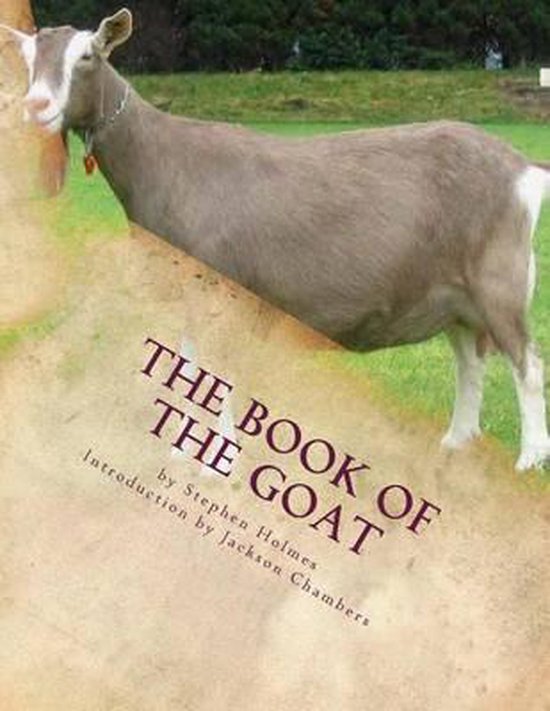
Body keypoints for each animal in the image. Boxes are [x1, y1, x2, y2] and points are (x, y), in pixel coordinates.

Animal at [2, 9, 550, 471]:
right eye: (27, 60)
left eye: (87, 55)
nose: (37, 106)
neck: (165, 161)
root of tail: (522, 168)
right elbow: (190, 364)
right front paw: (184, 450)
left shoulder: (220, 284)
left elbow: (217, 370)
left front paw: (219, 460)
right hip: (451, 291)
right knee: (470, 358)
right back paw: (456, 443)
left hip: (498, 280)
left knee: (526, 363)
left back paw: (528, 461)